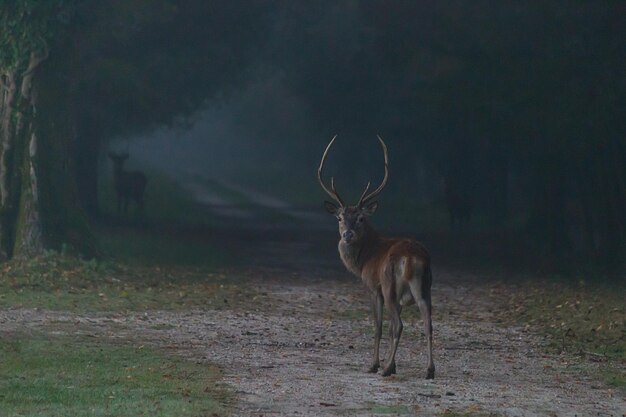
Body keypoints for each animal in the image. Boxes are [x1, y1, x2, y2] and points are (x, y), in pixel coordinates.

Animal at [316, 135, 434, 378]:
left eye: (361, 218)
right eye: (340, 218)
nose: (347, 234)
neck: (365, 259)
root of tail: (411, 258)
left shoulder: (373, 286)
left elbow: (379, 326)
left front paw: (375, 364)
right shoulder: (400, 296)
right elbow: (388, 328)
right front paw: (393, 363)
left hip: (389, 285)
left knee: (399, 324)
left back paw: (385, 370)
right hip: (424, 285)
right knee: (427, 322)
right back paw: (429, 370)